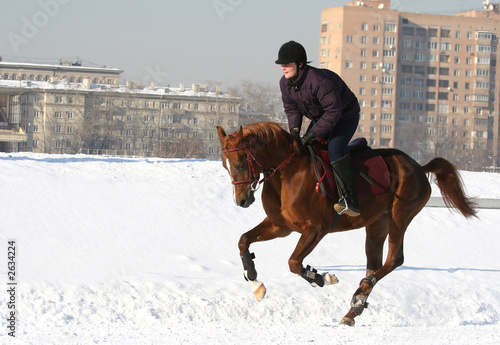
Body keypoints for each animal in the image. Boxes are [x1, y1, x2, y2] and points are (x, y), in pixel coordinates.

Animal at [216, 121, 476, 326]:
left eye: (241, 164)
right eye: (224, 165)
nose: (241, 200)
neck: (287, 173)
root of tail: (418, 166)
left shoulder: (316, 229)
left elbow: (294, 262)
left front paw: (322, 278)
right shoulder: (281, 226)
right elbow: (244, 240)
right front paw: (255, 282)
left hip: (400, 216)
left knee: (394, 259)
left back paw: (361, 290)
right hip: (377, 224)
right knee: (374, 263)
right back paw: (355, 306)